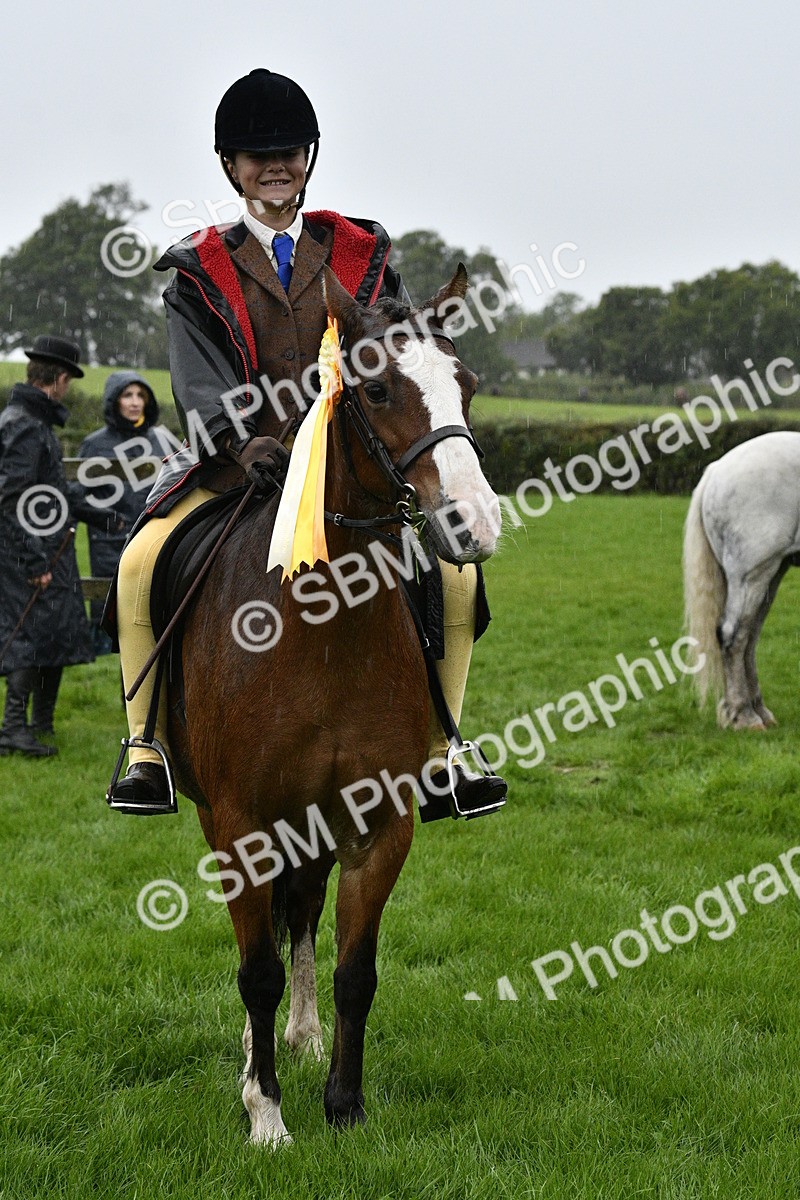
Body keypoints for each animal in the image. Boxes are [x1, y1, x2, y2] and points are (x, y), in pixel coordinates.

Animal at [168, 265, 501, 1145]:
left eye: (466, 385)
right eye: (377, 388)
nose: (474, 524)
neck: (323, 632)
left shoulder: (378, 822)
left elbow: (356, 969)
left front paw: (344, 1106)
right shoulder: (242, 823)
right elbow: (255, 972)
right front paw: (266, 1115)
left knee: (305, 912)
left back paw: (302, 1035)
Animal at [683, 429, 800, 729]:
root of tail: (717, 469)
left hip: (771, 573)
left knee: (749, 637)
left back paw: (756, 710)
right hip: (754, 575)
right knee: (733, 635)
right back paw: (744, 714)